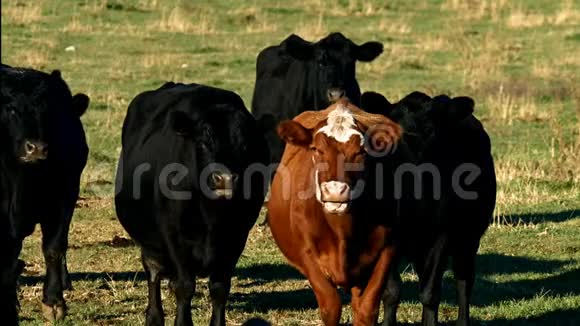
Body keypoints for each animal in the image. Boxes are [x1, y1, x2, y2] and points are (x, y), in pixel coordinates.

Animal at [0, 64, 89, 324]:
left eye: (50, 112)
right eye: (10, 109)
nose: (36, 148)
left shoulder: (64, 199)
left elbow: (54, 248)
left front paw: (54, 301)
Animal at [115, 82, 270, 326]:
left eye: (247, 145)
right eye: (203, 143)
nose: (224, 178)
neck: (212, 216)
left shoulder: (237, 236)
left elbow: (219, 287)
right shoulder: (175, 236)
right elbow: (184, 286)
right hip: (151, 243)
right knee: (153, 272)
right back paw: (154, 316)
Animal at [268, 98, 404, 324]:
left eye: (361, 152)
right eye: (316, 149)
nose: (335, 191)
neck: (342, 231)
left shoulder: (387, 251)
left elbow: (366, 310)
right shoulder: (307, 256)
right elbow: (330, 307)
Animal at [360, 91, 496, 326]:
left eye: (431, 129)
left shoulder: (443, 234)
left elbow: (430, 292)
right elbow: (391, 290)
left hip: (468, 237)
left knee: (464, 279)